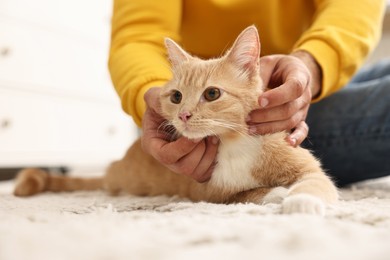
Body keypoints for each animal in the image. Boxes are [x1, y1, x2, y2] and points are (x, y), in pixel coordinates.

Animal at [14, 25, 338, 214]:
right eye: (176, 97)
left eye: (212, 94)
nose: (183, 115)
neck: (233, 143)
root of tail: (115, 166)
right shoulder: (206, 191)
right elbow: (245, 193)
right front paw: (279, 193)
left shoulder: (305, 166)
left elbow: (314, 181)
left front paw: (303, 200)